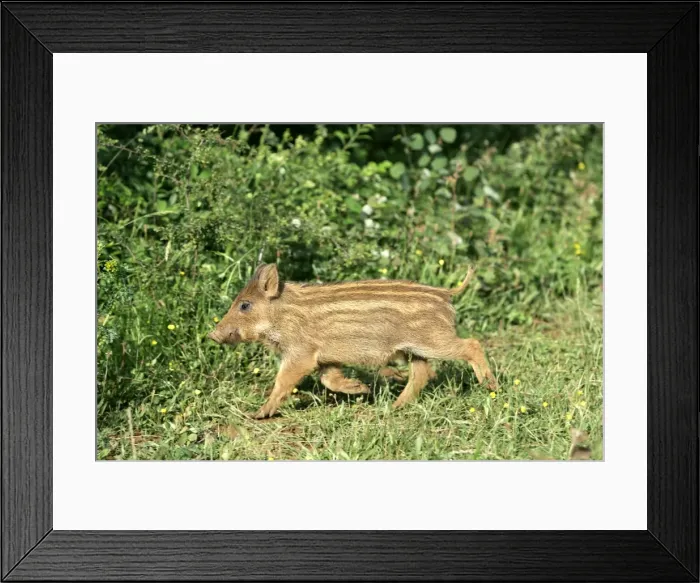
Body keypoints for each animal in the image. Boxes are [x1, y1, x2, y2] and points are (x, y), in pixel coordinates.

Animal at [208, 263, 498, 419]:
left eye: (245, 305)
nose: (213, 334)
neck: (283, 315)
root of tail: (446, 292)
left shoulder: (301, 354)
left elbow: (283, 383)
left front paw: (258, 415)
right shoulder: (326, 358)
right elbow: (330, 379)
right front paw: (362, 389)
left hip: (433, 340)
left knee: (471, 344)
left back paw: (490, 386)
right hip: (413, 349)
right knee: (422, 374)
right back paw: (393, 407)